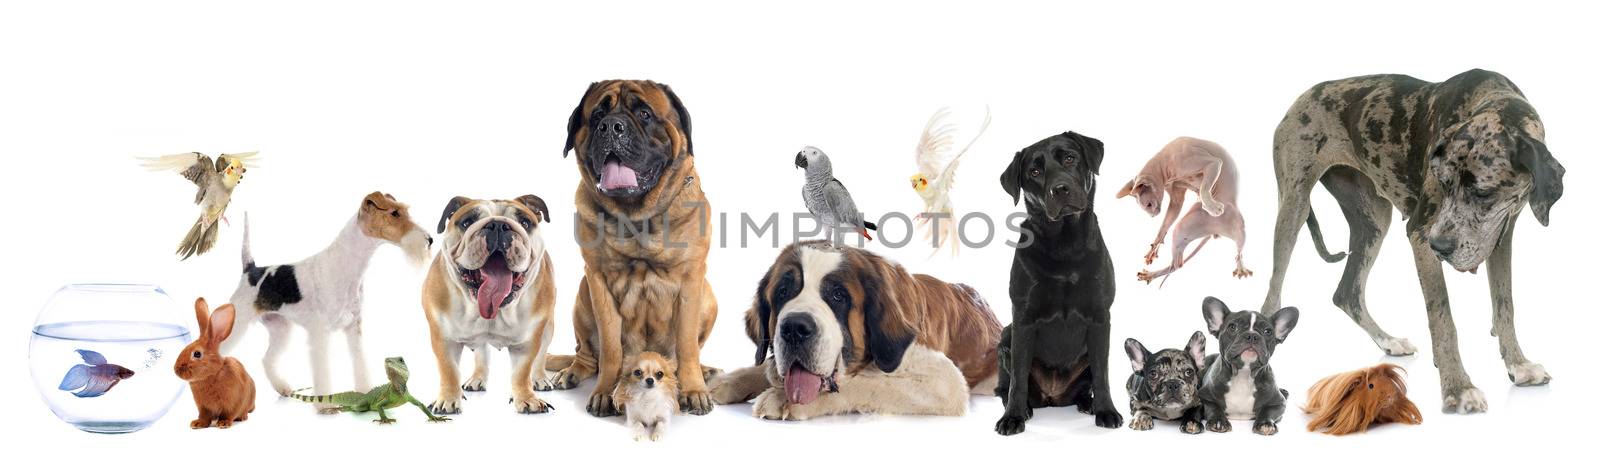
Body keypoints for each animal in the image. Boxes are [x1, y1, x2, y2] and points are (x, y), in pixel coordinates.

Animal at [175, 297, 256, 425]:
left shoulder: (233, 402)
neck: (213, 374)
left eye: (197, 354)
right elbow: (204, 416)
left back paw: (242, 417)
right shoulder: (203, 407)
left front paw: (224, 423)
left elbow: (229, 414)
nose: (176, 369)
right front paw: (197, 424)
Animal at [1113, 136, 1248, 283]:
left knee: (1239, 251)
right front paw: (1154, 246)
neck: (1164, 164)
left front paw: (1211, 207)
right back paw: (1150, 275)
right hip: (1183, 229)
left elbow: (1204, 188)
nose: (1153, 216)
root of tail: (1215, 232)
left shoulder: (1212, 163)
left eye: (1148, 205)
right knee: (1177, 264)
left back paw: (1241, 268)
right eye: (1146, 208)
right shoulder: (1176, 194)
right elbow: (1165, 224)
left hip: (1237, 227)